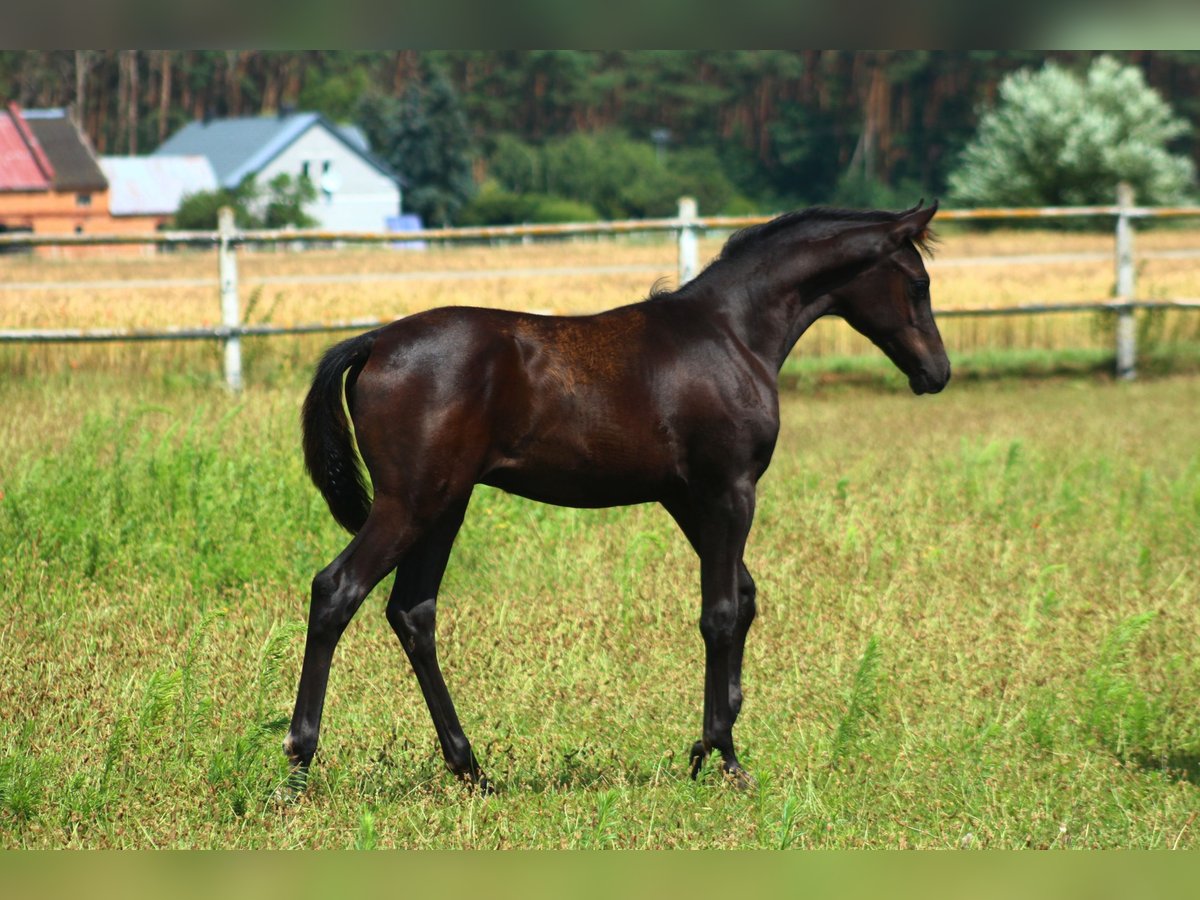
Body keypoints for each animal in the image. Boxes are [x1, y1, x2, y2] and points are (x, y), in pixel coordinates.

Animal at [280, 200, 945, 792]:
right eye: (919, 283)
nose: (936, 373)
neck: (730, 335)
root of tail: (375, 342)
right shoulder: (729, 489)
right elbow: (720, 614)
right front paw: (725, 760)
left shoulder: (687, 497)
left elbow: (744, 597)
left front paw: (707, 744)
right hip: (410, 503)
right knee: (338, 590)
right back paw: (299, 764)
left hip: (445, 505)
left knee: (412, 612)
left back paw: (471, 770)